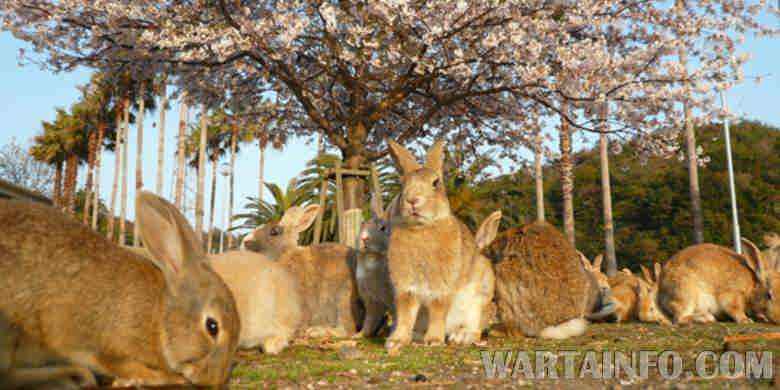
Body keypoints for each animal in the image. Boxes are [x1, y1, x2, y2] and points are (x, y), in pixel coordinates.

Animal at [0, 193, 241, 386]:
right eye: (212, 327)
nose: (214, 381)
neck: (158, 317)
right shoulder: (107, 348)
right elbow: (127, 366)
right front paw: (168, 378)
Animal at [382, 138, 494, 354]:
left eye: (436, 183)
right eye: (402, 184)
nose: (412, 200)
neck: (422, 227)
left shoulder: (441, 287)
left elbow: (437, 309)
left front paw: (434, 341)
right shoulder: (405, 287)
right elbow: (406, 312)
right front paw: (396, 341)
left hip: (480, 296)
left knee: (476, 327)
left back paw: (460, 337)